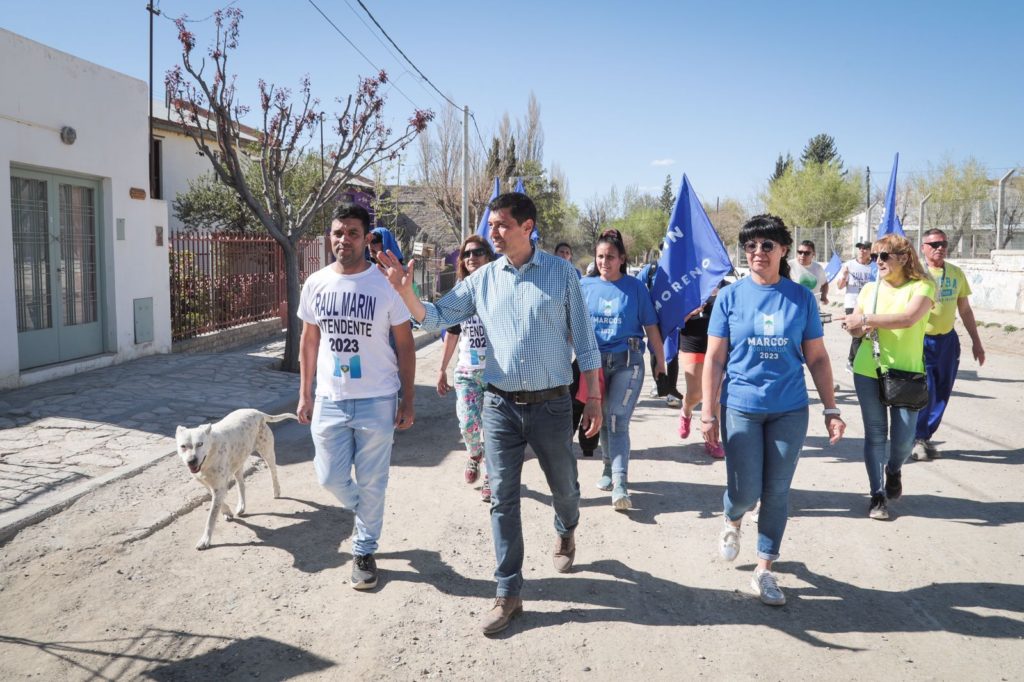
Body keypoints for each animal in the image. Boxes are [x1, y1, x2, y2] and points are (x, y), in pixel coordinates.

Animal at [176, 409, 294, 548]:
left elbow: (211, 517)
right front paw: (227, 512)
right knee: (241, 485)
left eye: (200, 444)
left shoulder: (219, 487)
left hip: (267, 453)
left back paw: (276, 491)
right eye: (183, 446)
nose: (191, 461)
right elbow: (218, 501)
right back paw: (241, 506)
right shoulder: (209, 485)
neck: (210, 454)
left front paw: (205, 540)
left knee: (273, 472)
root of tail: (256, 412)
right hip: (238, 463)